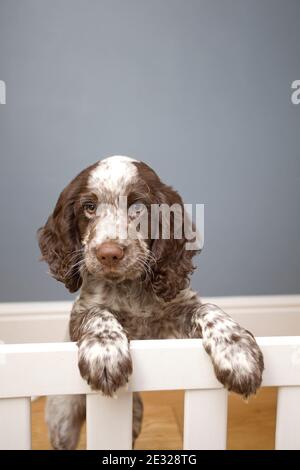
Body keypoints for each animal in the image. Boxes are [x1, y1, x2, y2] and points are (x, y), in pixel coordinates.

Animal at [38, 154, 264, 448]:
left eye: (137, 208)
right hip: (62, 418)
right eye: (89, 207)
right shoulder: (80, 313)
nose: (108, 254)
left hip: (132, 417)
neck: (129, 288)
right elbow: (98, 313)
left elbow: (207, 308)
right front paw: (106, 353)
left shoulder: (172, 323)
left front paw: (238, 353)